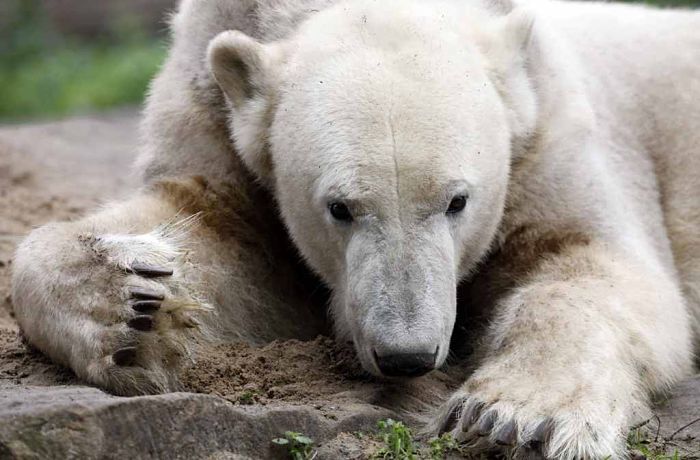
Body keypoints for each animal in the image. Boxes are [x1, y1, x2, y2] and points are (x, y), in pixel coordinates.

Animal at [11, 0, 700, 458]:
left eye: (457, 201)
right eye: (340, 208)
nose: (407, 354)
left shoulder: (545, 127)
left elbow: (596, 262)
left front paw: (514, 418)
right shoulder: (214, 108)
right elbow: (220, 239)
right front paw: (137, 307)